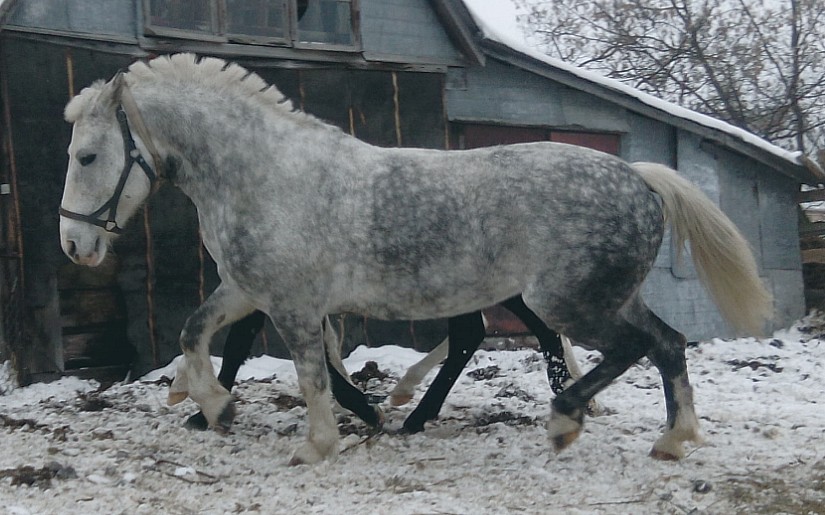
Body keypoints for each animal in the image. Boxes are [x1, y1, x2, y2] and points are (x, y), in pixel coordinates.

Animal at [59, 54, 772, 466]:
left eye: (87, 156)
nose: (73, 245)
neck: (264, 175)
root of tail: (639, 177)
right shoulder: (248, 289)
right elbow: (194, 333)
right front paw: (213, 407)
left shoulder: (293, 303)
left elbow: (310, 373)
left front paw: (319, 443)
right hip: (603, 296)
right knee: (667, 343)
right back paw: (670, 439)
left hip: (569, 301)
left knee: (629, 347)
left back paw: (564, 421)